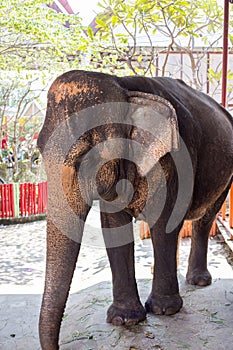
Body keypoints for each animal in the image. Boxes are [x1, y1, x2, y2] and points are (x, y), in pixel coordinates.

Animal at [37, 69, 232, 348]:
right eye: (40, 149)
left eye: (85, 154)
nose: (58, 345)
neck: (124, 87)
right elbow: (114, 226)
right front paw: (125, 319)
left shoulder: (173, 160)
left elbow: (164, 222)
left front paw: (164, 310)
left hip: (226, 175)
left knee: (205, 219)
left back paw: (198, 281)